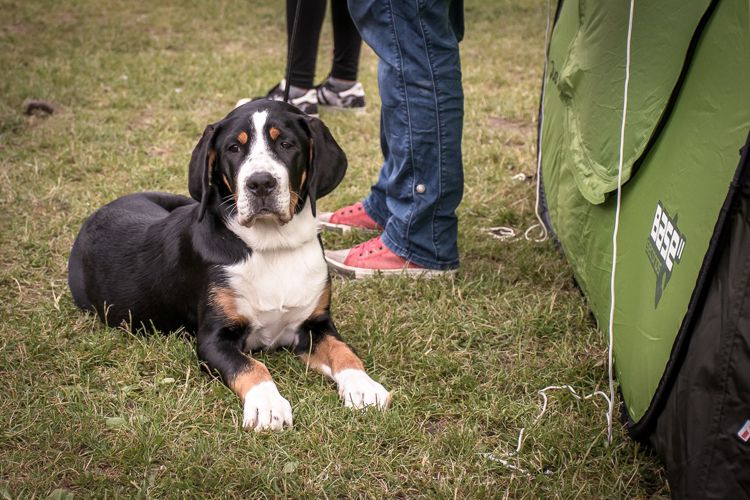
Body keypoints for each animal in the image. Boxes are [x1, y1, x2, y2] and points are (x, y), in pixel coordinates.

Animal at [69, 100, 394, 430]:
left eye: (286, 144)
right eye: (234, 148)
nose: (260, 183)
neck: (272, 246)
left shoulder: (314, 324)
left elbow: (344, 351)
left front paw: (364, 386)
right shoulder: (214, 338)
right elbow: (251, 366)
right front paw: (267, 405)